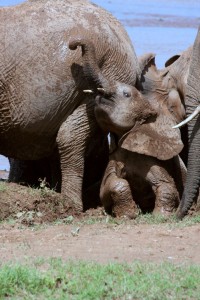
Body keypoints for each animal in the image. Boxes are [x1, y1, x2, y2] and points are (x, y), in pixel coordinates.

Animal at [68, 38, 186, 219]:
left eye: (126, 94)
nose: (73, 44)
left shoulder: (151, 158)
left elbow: (165, 183)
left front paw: (160, 216)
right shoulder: (115, 157)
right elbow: (110, 183)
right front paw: (129, 215)